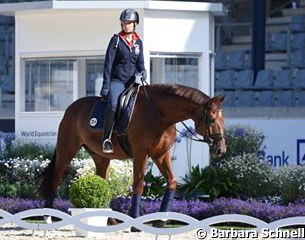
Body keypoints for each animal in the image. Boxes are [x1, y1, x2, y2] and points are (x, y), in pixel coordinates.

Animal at [38, 85, 226, 223]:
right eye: (211, 120)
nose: (221, 149)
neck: (159, 115)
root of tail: (71, 108)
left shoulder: (161, 155)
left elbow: (172, 182)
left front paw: (161, 220)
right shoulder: (141, 153)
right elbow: (139, 185)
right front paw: (135, 221)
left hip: (101, 157)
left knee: (102, 181)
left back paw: (110, 220)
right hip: (67, 150)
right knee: (55, 179)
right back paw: (48, 217)